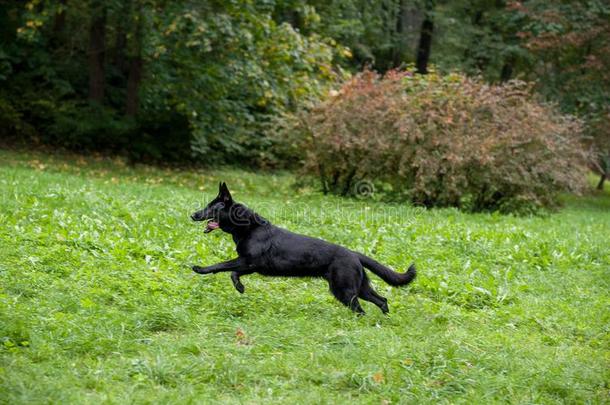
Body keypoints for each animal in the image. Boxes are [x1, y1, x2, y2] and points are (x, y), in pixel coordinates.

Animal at [192, 182, 416, 312]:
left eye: (212, 207)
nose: (193, 215)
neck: (249, 227)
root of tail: (354, 254)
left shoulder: (248, 262)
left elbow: (221, 266)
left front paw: (200, 269)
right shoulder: (249, 266)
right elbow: (232, 273)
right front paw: (240, 287)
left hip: (344, 290)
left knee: (361, 309)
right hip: (359, 288)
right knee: (382, 300)